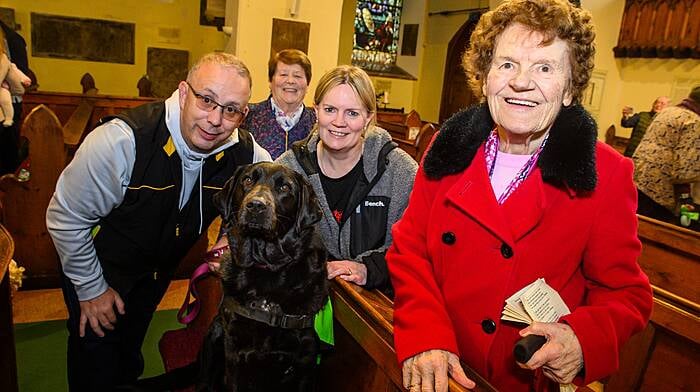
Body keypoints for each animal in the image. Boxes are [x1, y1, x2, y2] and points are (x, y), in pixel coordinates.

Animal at [133, 161, 328, 390]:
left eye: (285, 187)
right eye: (248, 180)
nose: (256, 206)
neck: (267, 270)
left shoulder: (306, 359)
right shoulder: (235, 354)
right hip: (214, 335)